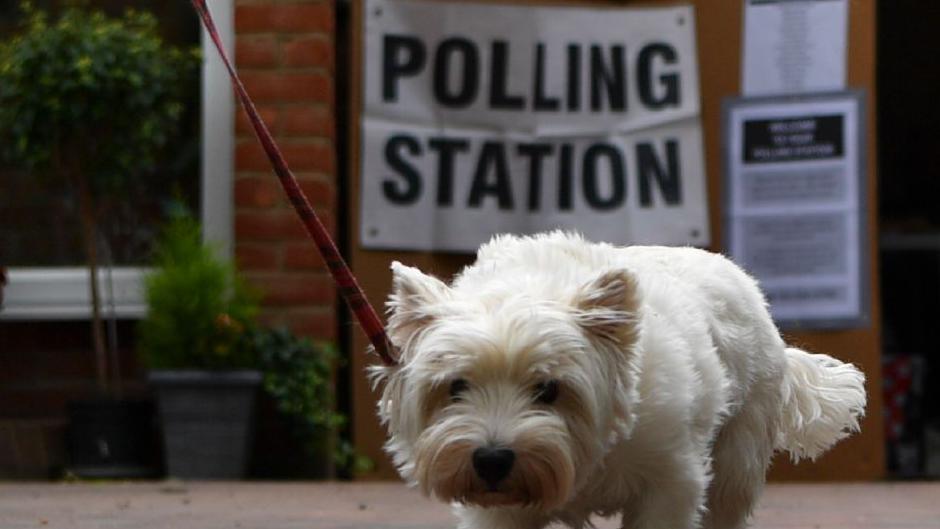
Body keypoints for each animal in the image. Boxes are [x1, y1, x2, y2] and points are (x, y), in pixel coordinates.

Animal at [372, 232, 868, 528]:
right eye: (456, 387)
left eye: (549, 388)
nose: (492, 460)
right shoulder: (501, 512)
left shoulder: (669, 483)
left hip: (737, 456)